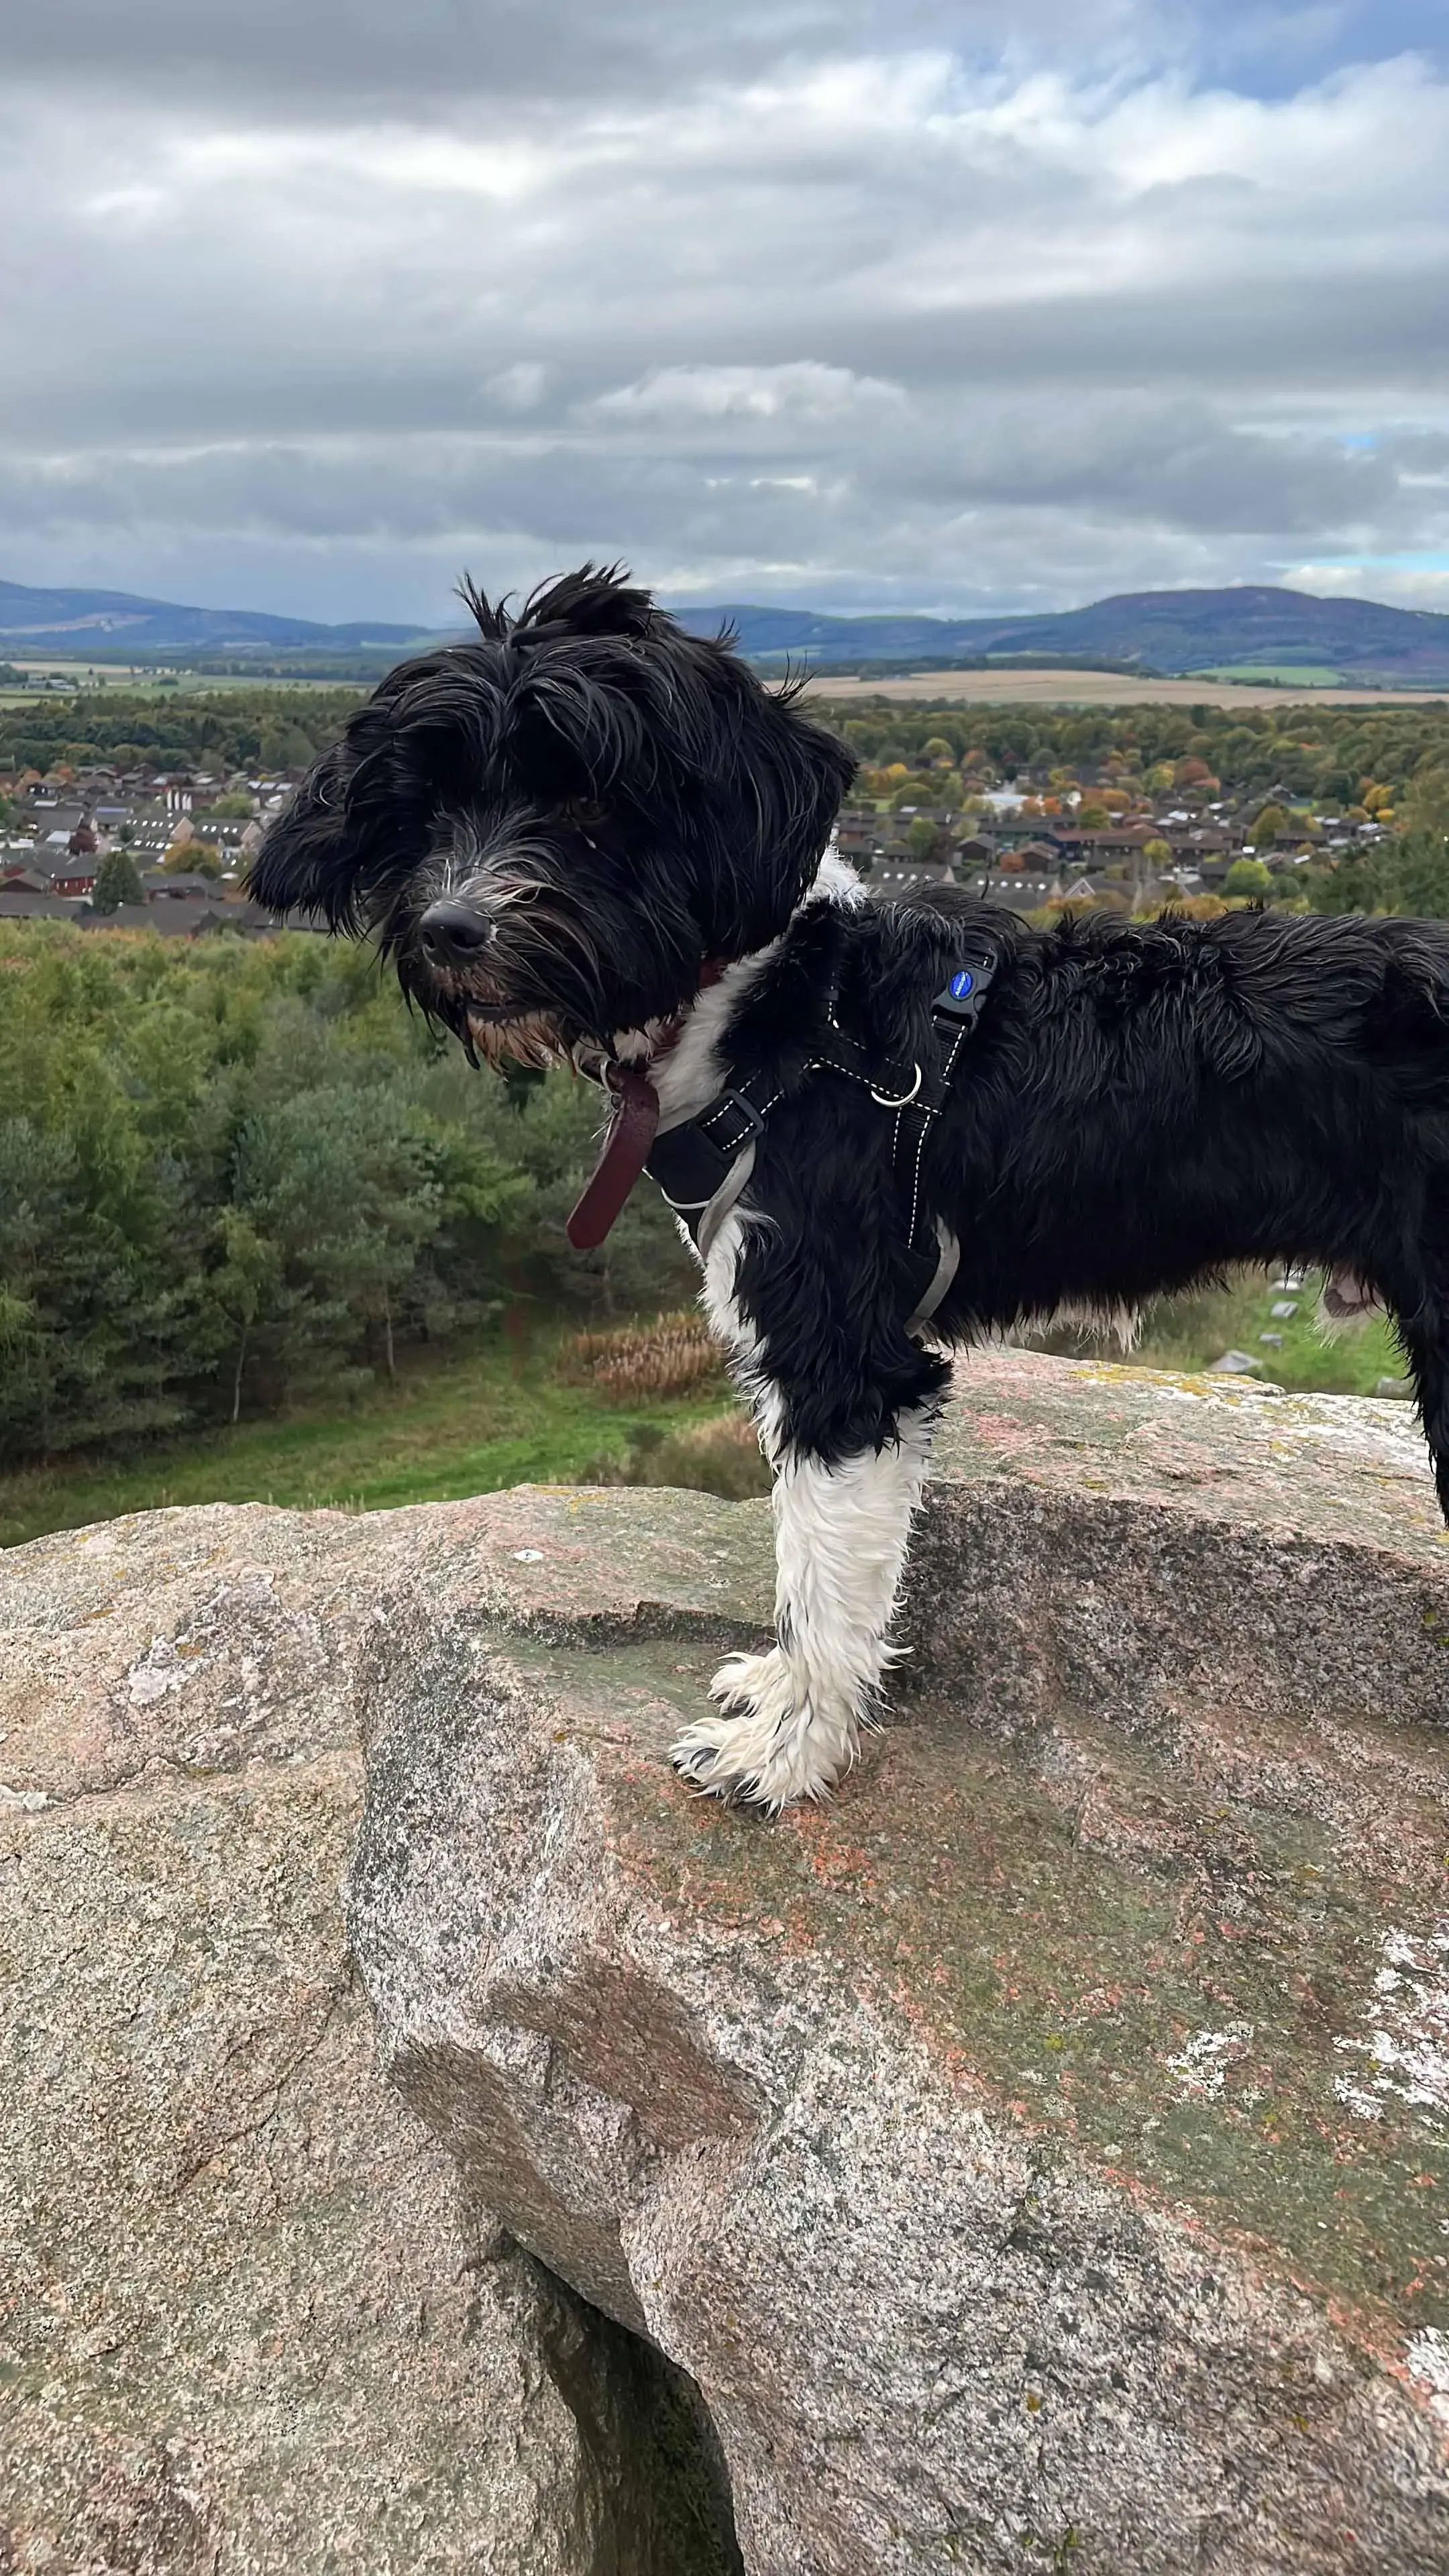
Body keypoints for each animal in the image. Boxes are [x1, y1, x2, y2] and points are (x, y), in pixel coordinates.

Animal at [251, 564, 1444, 1813]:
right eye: (428, 811)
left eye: (589, 806)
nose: (452, 927)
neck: (778, 1011)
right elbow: (796, 1559)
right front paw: (777, 1704)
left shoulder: (842, 1352)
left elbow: (821, 1579)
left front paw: (785, 1753)